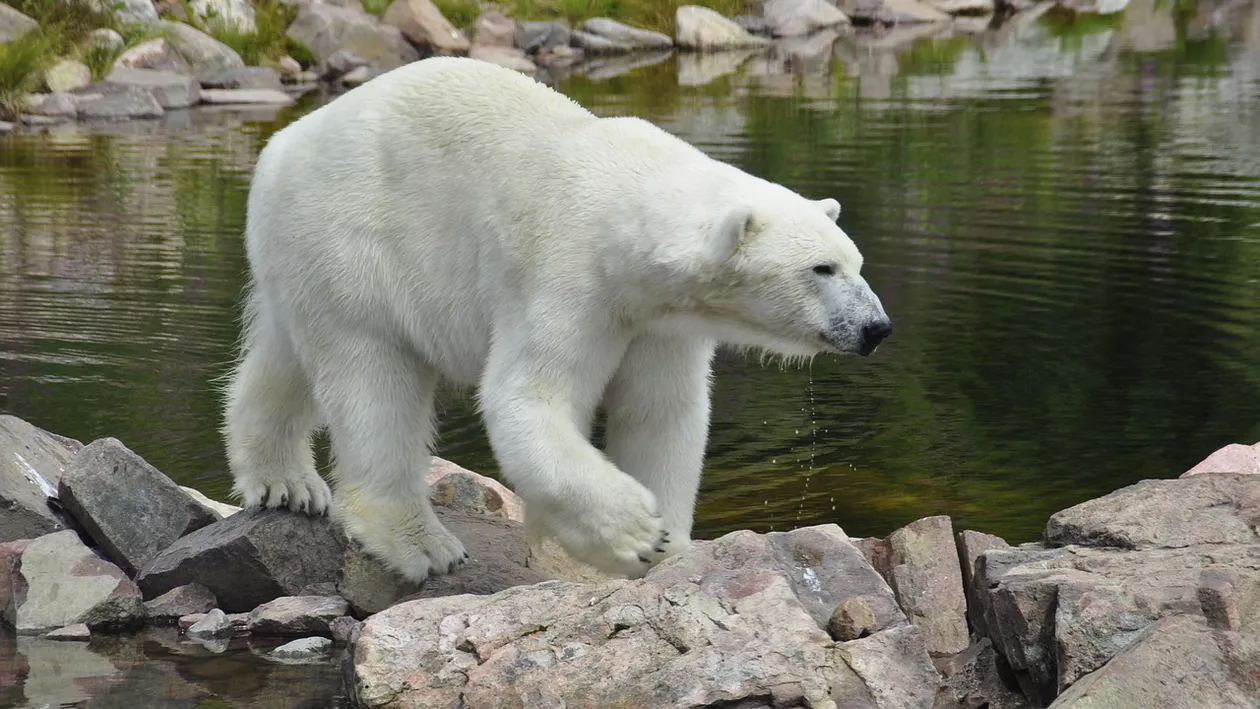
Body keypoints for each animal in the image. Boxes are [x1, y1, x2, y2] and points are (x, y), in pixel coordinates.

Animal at [221, 58, 892, 581]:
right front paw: (637, 535)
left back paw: (284, 483)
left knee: (286, 357)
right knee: (373, 379)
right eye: (822, 268)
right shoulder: (568, 274)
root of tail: (280, 147)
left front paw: (673, 549)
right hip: (356, 243)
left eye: (855, 262)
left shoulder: (663, 323)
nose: (876, 328)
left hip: (302, 257)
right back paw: (419, 542)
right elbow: (528, 398)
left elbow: (661, 412)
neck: (627, 211)